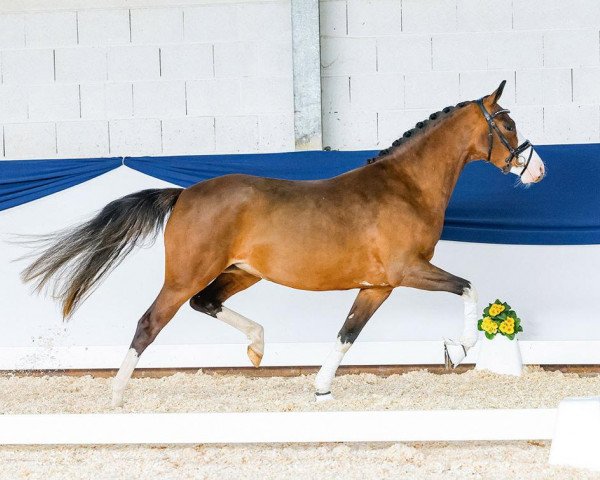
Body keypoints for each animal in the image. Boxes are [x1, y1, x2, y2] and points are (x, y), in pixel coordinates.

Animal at [22, 81, 544, 404]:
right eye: (508, 124)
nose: (536, 170)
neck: (405, 187)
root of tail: (183, 193)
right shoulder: (406, 271)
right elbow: (468, 287)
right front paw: (461, 346)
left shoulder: (377, 286)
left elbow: (347, 334)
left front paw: (322, 389)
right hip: (187, 274)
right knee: (150, 322)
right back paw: (116, 394)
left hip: (240, 273)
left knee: (204, 303)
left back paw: (257, 346)